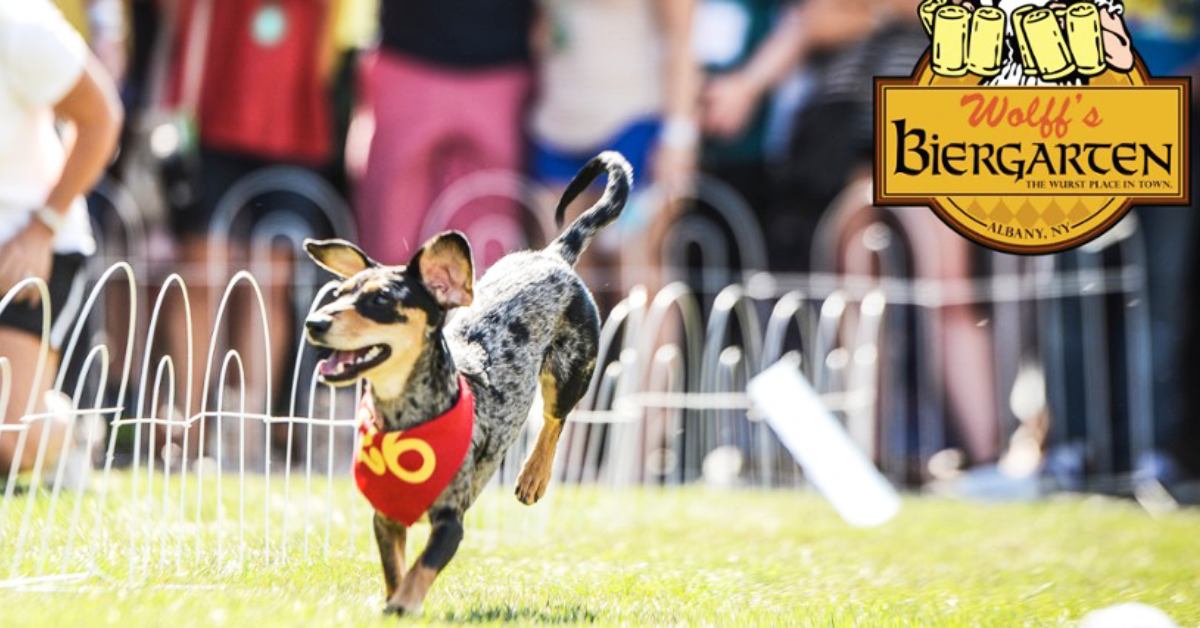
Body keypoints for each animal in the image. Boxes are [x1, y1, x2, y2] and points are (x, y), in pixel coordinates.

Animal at [302, 152, 628, 614]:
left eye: (381, 299)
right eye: (338, 294)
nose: (315, 323)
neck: (405, 420)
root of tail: (553, 256)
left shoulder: (450, 524)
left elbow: (420, 570)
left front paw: (405, 607)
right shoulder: (386, 519)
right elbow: (395, 570)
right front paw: (394, 604)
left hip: (572, 368)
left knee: (555, 419)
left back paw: (534, 475)